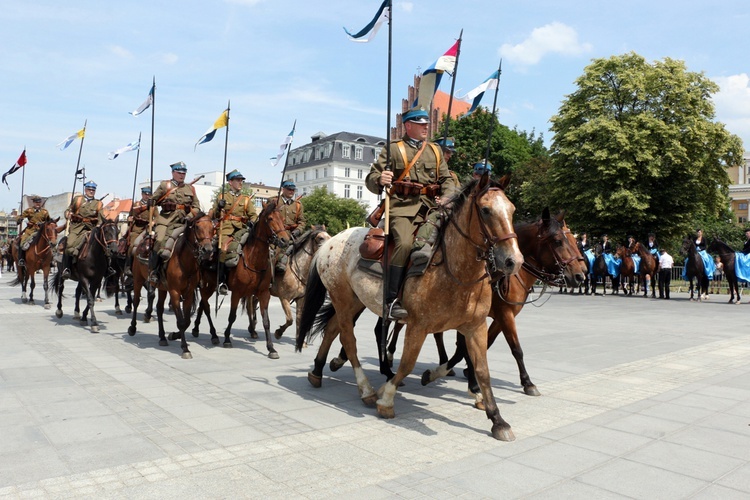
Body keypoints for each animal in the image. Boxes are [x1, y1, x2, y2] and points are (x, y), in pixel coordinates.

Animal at [220, 199, 290, 356]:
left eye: (282, 219)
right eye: (270, 218)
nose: (285, 240)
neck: (254, 260)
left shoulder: (264, 294)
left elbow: (266, 321)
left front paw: (271, 348)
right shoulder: (236, 292)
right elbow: (232, 316)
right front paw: (226, 339)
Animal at [296, 177, 524, 442]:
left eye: (512, 210)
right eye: (486, 210)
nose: (514, 261)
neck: (453, 270)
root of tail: (330, 242)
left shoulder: (475, 327)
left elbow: (482, 370)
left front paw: (497, 419)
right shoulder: (418, 326)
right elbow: (407, 364)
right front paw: (386, 398)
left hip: (354, 301)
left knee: (333, 329)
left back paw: (317, 371)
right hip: (342, 299)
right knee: (348, 340)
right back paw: (365, 389)